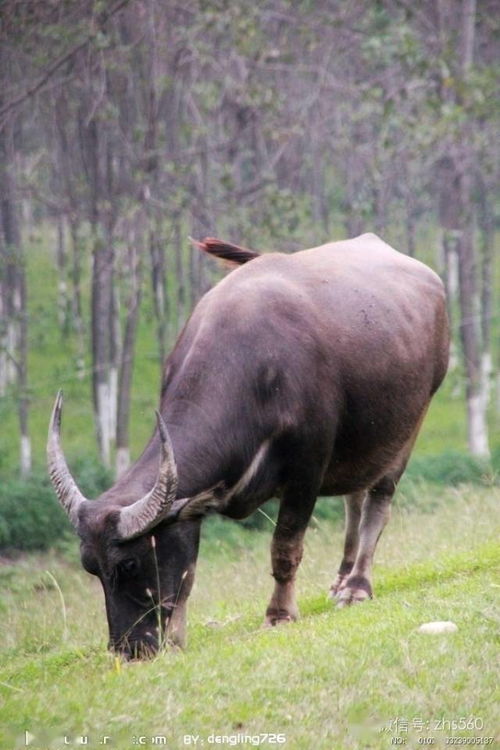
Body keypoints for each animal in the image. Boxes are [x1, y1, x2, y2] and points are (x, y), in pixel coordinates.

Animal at [48, 234, 452, 656]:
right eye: (90, 566)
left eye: (129, 564)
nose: (128, 650)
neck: (255, 368)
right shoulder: (191, 509)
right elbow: (187, 573)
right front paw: (176, 637)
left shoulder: (306, 471)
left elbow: (285, 547)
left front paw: (279, 614)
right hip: (361, 440)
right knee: (354, 498)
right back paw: (342, 579)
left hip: (409, 424)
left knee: (377, 502)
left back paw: (357, 586)